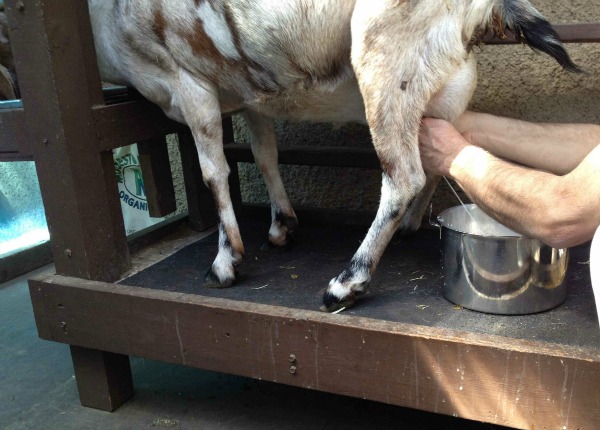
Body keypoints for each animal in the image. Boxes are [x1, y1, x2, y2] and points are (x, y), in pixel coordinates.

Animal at [86, 0, 580, 310]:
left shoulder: (188, 82)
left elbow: (214, 173)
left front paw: (225, 262)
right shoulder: (252, 96)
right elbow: (265, 155)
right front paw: (281, 225)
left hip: (387, 59)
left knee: (403, 176)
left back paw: (346, 283)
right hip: (441, 82)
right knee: (440, 155)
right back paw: (410, 226)